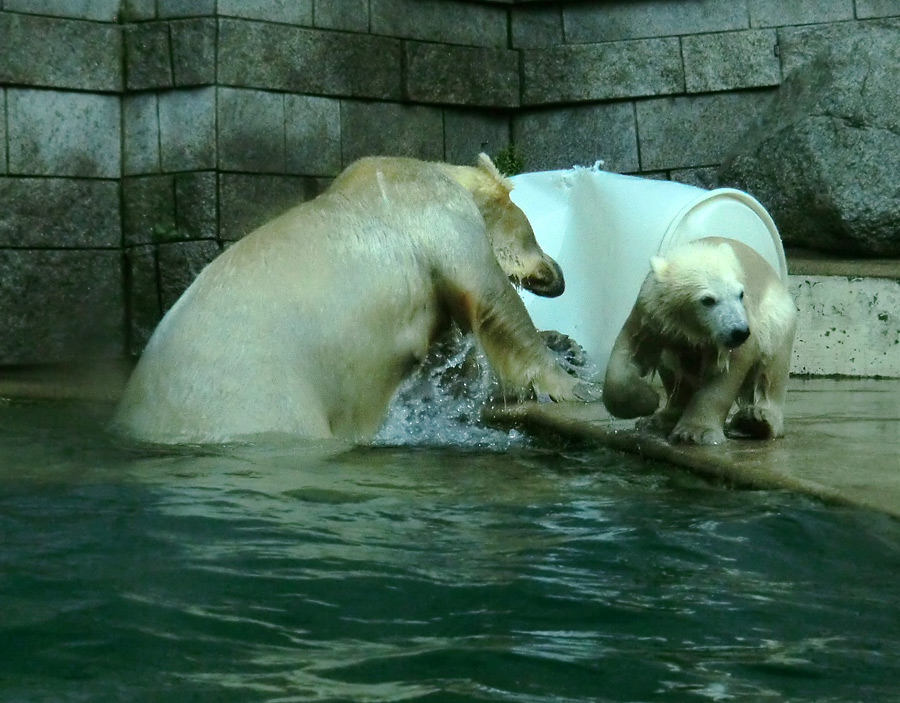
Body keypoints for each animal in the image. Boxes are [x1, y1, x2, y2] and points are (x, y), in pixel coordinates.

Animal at [112, 155, 592, 446]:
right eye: (534, 235)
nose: (559, 277)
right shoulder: (437, 213)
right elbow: (492, 300)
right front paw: (569, 381)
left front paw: (570, 348)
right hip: (262, 399)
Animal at [604, 236, 796, 446]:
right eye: (708, 300)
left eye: (740, 294)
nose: (739, 332)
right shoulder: (654, 315)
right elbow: (631, 349)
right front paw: (647, 401)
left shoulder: (741, 327)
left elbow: (727, 371)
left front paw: (695, 432)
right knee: (672, 368)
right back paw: (660, 419)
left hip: (776, 317)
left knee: (771, 369)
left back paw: (757, 419)